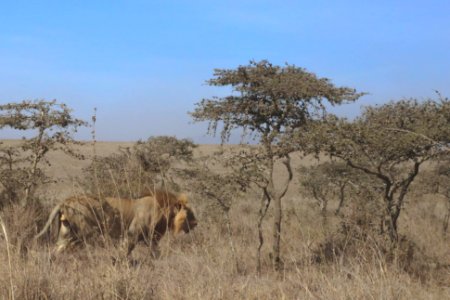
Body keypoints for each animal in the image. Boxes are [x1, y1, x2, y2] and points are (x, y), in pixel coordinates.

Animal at [35, 191, 197, 256]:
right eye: (189, 213)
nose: (196, 223)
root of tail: (66, 201)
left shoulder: (151, 238)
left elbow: (156, 253)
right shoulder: (132, 234)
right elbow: (125, 250)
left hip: (66, 230)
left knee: (58, 248)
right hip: (84, 232)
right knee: (68, 246)